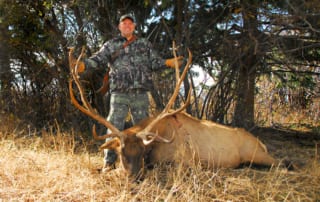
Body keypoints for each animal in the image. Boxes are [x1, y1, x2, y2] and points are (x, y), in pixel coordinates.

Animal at [69, 44, 282, 180]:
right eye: (121, 151)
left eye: (143, 151)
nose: (134, 177)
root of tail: (261, 143)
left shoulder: (185, 161)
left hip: (256, 153)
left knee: (282, 163)